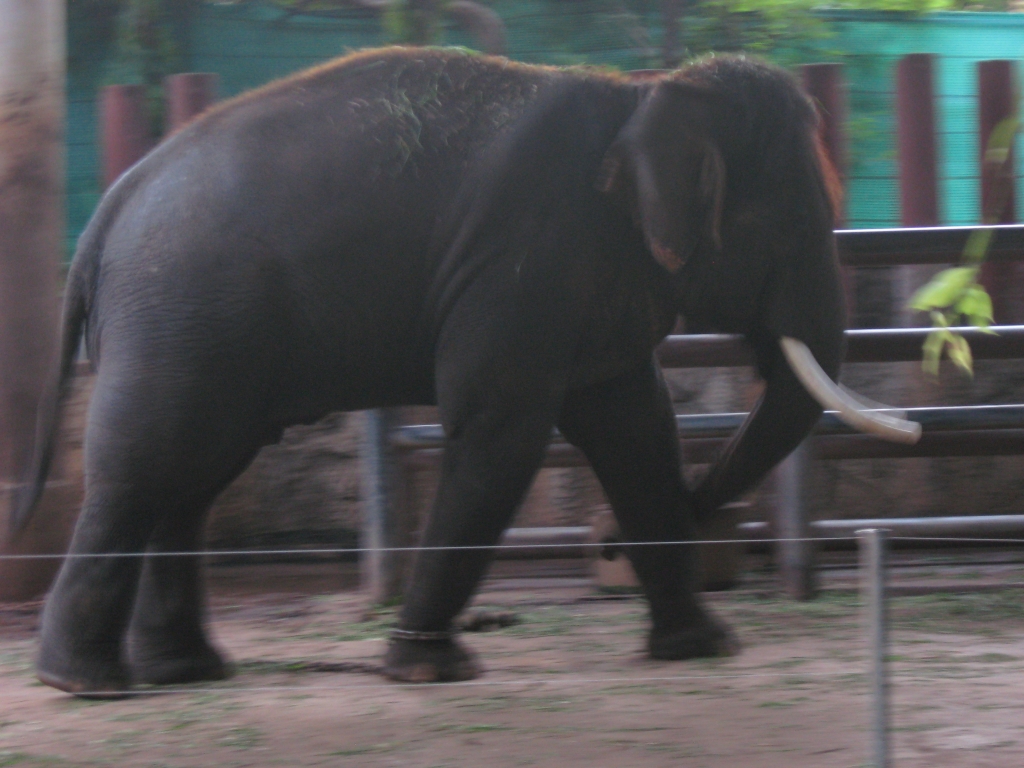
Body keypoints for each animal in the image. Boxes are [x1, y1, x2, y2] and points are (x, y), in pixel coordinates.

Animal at [14, 46, 913, 697]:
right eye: (791, 226)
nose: (710, 511)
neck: (645, 92)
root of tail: (107, 209)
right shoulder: (525, 260)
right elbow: (499, 433)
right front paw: (426, 669)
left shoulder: (593, 274)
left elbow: (635, 428)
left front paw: (704, 647)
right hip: (181, 316)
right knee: (149, 466)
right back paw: (87, 683)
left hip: (198, 328)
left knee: (193, 478)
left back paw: (184, 672)